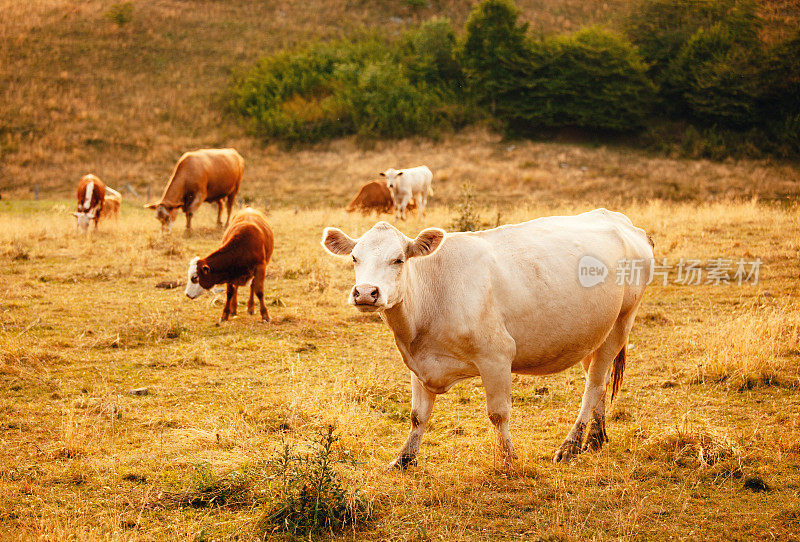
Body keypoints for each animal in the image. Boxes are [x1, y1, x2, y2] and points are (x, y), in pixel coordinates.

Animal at [322, 210, 652, 470]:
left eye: (398, 259)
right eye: (355, 258)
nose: (366, 292)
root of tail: (618, 220)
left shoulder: (497, 355)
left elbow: (498, 413)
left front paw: (509, 459)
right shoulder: (419, 364)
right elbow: (418, 416)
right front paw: (404, 459)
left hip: (621, 323)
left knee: (593, 386)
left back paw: (570, 445)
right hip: (593, 333)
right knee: (601, 380)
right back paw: (595, 438)